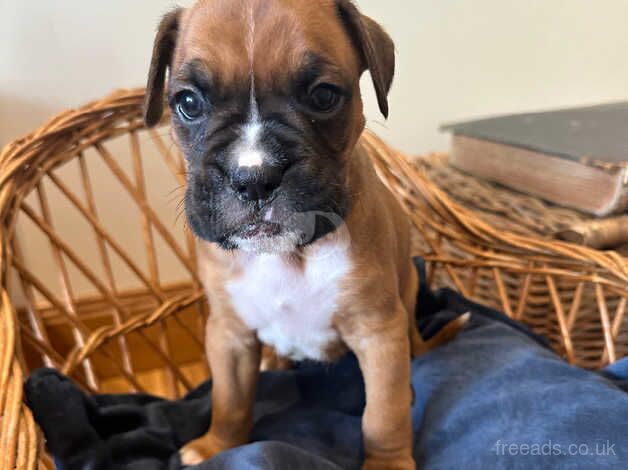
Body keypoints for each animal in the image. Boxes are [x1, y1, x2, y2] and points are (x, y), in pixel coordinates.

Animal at [144, 1, 466, 468]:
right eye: (187, 102)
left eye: (323, 96)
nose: (254, 177)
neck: (288, 255)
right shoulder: (228, 333)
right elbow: (229, 398)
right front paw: (217, 444)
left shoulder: (378, 331)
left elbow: (382, 412)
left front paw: (387, 461)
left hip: (405, 305)